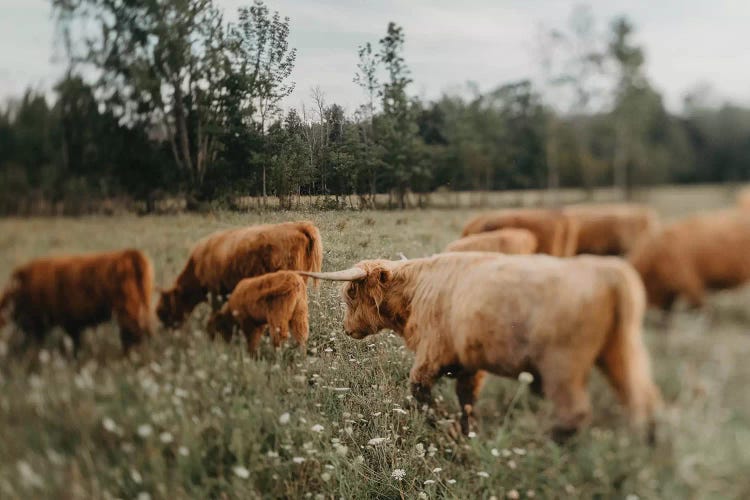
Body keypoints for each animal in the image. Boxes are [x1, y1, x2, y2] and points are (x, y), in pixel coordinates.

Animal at [302, 254, 664, 442]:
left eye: (350, 293)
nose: (346, 329)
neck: (416, 291)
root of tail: (607, 270)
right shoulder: (468, 361)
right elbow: (466, 399)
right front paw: (467, 432)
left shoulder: (432, 353)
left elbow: (420, 391)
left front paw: (444, 429)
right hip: (622, 353)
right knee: (644, 401)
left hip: (563, 366)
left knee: (575, 412)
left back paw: (541, 441)